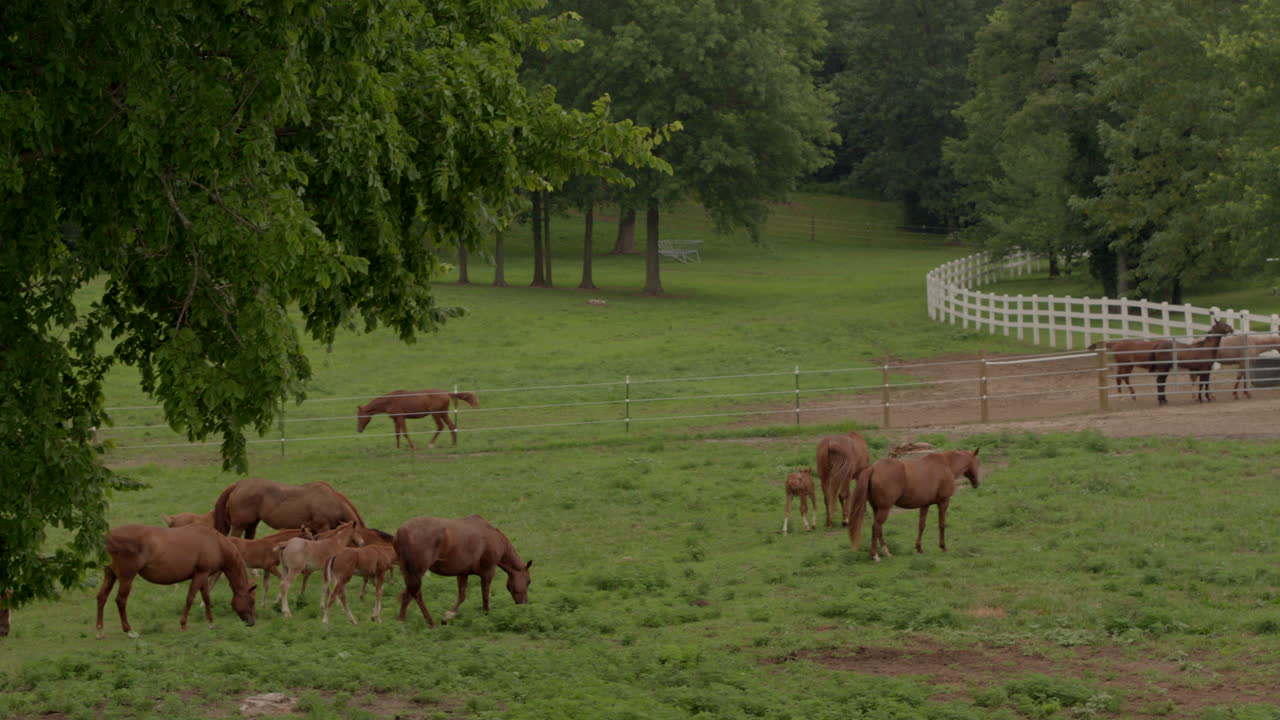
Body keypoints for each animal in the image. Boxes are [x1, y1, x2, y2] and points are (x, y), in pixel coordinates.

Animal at [95, 524, 257, 638]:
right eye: (251, 601)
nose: (252, 623)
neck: (215, 543)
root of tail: (108, 537)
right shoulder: (200, 575)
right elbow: (190, 598)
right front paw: (183, 624)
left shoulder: (203, 576)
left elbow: (206, 598)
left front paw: (211, 623)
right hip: (127, 578)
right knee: (121, 601)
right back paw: (129, 631)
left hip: (110, 576)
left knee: (101, 597)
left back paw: (100, 631)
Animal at [394, 515, 532, 627]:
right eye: (529, 581)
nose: (524, 605)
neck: (494, 538)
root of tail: (401, 532)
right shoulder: (488, 572)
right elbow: (485, 596)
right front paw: (486, 616)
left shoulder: (462, 573)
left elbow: (462, 596)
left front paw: (447, 617)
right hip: (417, 572)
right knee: (414, 594)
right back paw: (428, 623)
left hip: (408, 573)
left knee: (408, 594)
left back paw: (402, 622)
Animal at [847, 449, 981, 563]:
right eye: (977, 463)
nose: (977, 484)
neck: (946, 465)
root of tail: (873, 468)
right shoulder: (944, 502)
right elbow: (942, 525)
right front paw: (943, 547)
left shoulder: (925, 505)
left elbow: (921, 525)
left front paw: (919, 548)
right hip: (884, 509)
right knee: (876, 527)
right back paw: (875, 555)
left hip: (877, 509)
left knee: (878, 528)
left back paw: (886, 552)